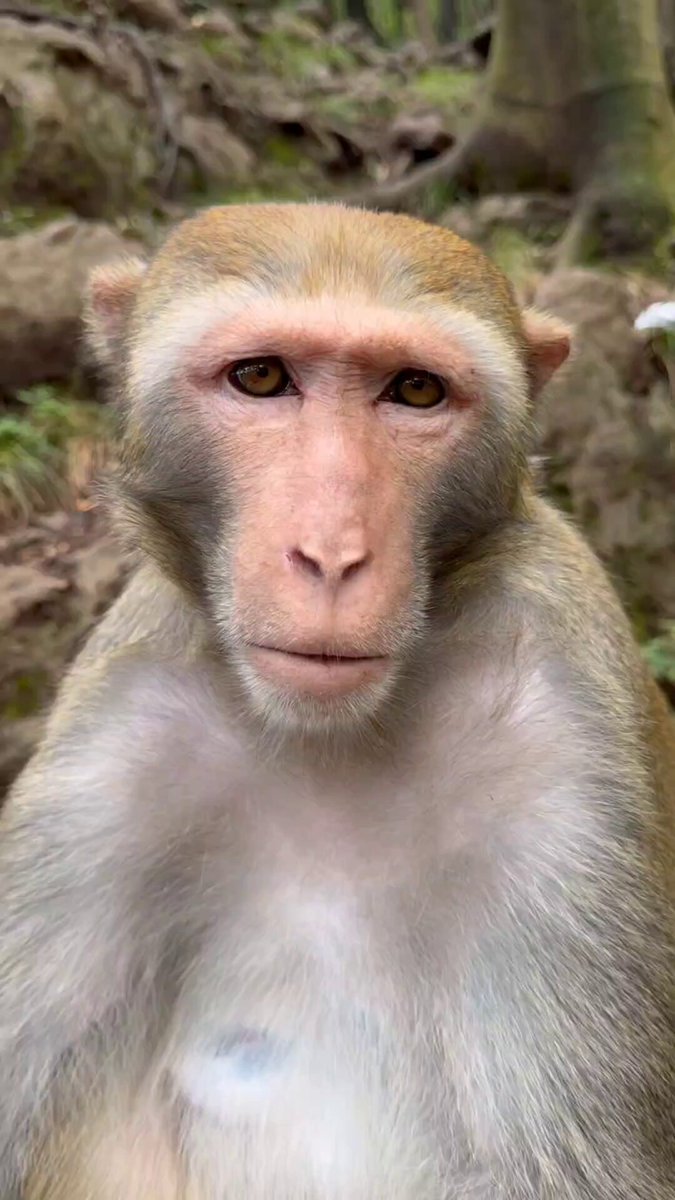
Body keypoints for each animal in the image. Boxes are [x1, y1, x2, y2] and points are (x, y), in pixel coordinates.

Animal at [0, 201, 674, 1200]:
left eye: (415, 392)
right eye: (260, 378)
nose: (330, 553)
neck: (330, 738)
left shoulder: (562, 737)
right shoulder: (113, 749)